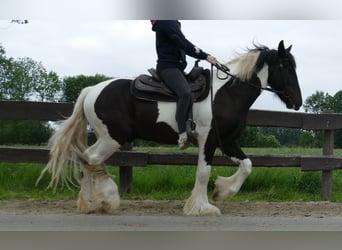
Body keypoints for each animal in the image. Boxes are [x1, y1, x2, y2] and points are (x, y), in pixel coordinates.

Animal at [38, 40, 304, 215]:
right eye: (285, 67)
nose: (298, 101)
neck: (226, 94)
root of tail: (92, 90)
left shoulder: (227, 141)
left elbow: (247, 165)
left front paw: (221, 191)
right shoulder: (208, 139)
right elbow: (203, 172)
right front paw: (202, 207)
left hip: (106, 137)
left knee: (85, 159)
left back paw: (89, 203)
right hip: (111, 138)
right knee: (92, 159)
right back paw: (108, 199)